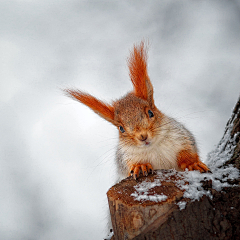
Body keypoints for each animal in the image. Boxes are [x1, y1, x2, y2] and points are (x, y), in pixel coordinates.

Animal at [64, 41, 209, 180]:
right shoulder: (125, 156)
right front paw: (140, 166)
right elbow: (131, 164)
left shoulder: (181, 137)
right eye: (121, 128)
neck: (154, 147)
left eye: (150, 113)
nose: (142, 136)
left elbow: (188, 152)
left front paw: (193, 163)